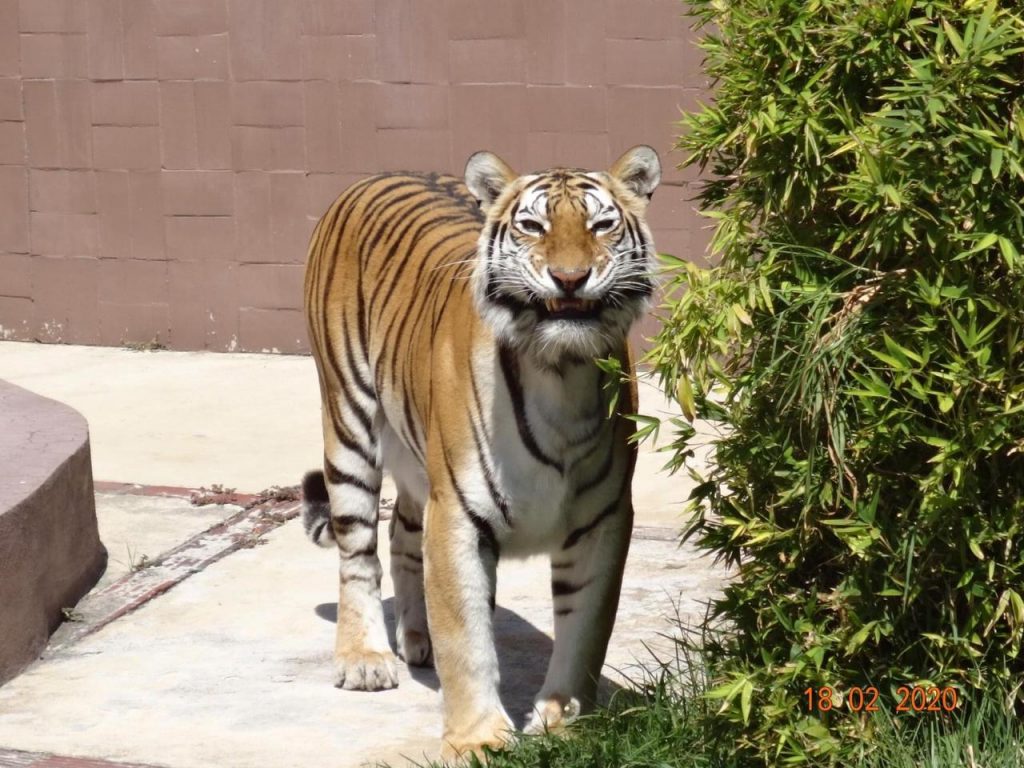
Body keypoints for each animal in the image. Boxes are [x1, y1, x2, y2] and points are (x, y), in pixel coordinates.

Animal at [299, 145, 659, 765]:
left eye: (601, 225)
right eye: (533, 226)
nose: (570, 278)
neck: (560, 374)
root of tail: (374, 175)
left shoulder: (604, 518)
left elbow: (586, 629)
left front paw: (564, 724)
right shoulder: (459, 515)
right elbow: (467, 639)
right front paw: (479, 740)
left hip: (417, 459)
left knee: (400, 533)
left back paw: (415, 640)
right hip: (348, 423)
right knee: (358, 552)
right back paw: (365, 660)